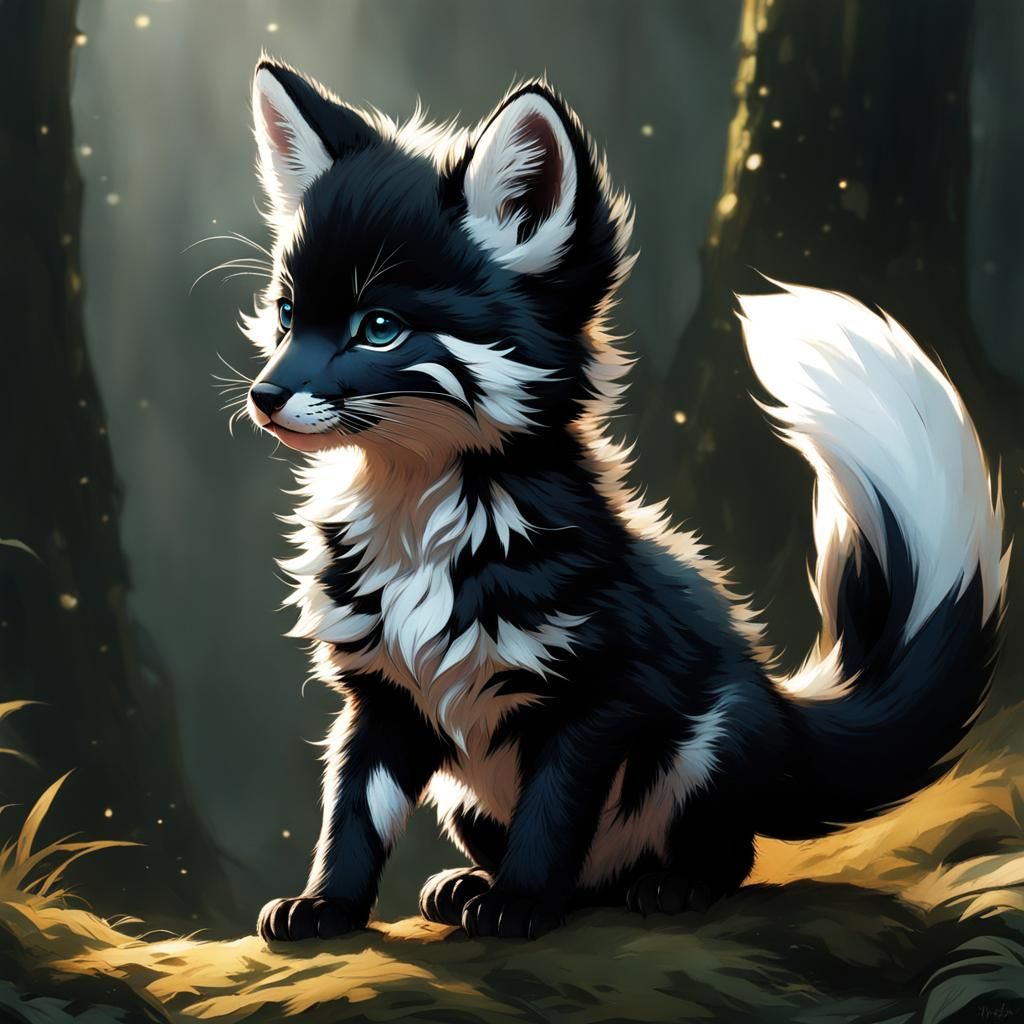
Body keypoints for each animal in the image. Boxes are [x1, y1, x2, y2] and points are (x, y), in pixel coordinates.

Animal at [237, 58, 1008, 941]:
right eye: (287, 313)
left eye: (379, 327)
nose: (264, 397)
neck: (421, 533)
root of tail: (784, 714)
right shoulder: (383, 699)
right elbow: (352, 817)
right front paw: (325, 908)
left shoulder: (598, 700)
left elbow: (551, 819)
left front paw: (519, 904)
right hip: (469, 800)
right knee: (581, 875)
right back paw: (469, 885)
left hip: (708, 749)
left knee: (722, 856)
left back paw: (667, 887)